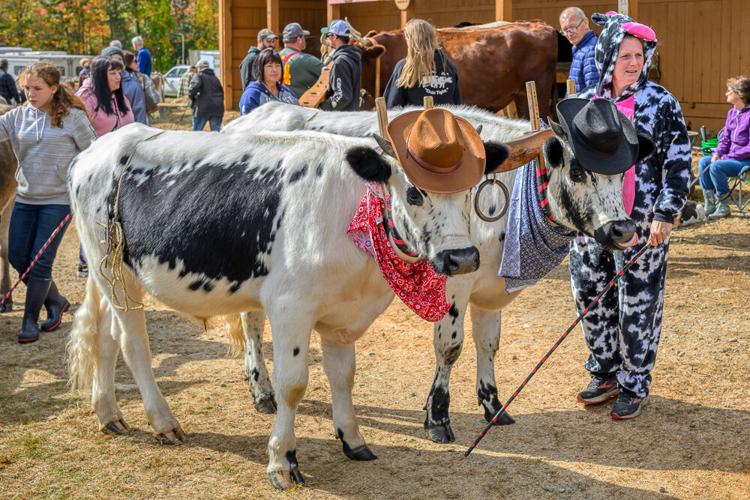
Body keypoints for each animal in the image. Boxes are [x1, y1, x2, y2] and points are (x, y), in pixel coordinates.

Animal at [66, 123, 513, 489]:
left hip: (107, 275)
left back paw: (108, 413)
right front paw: (283, 459)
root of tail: (95, 150)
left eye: (470, 190)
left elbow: (343, 377)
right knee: (132, 344)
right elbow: (292, 384)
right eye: (415, 192)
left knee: (103, 338)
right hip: (120, 279)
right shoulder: (289, 308)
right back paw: (163, 421)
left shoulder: (342, 313)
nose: (462, 258)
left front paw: (353, 439)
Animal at [223, 101, 649, 442]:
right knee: (251, 323)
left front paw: (493, 405)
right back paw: (262, 391)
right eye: (577, 172)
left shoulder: (488, 288)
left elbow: (488, 344)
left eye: (622, 174)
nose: (623, 230)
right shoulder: (455, 281)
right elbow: (450, 347)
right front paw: (438, 417)